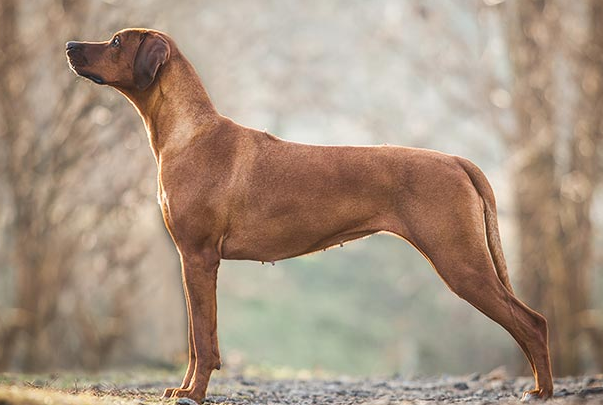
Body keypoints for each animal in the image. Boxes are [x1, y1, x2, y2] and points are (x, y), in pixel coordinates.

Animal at [65, 29, 552, 400]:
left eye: (115, 41)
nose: (70, 46)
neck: (190, 132)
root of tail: (456, 160)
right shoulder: (191, 261)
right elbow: (195, 339)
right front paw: (183, 389)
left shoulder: (199, 258)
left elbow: (202, 341)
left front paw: (195, 394)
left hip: (460, 262)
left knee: (533, 323)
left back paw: (542, 391)